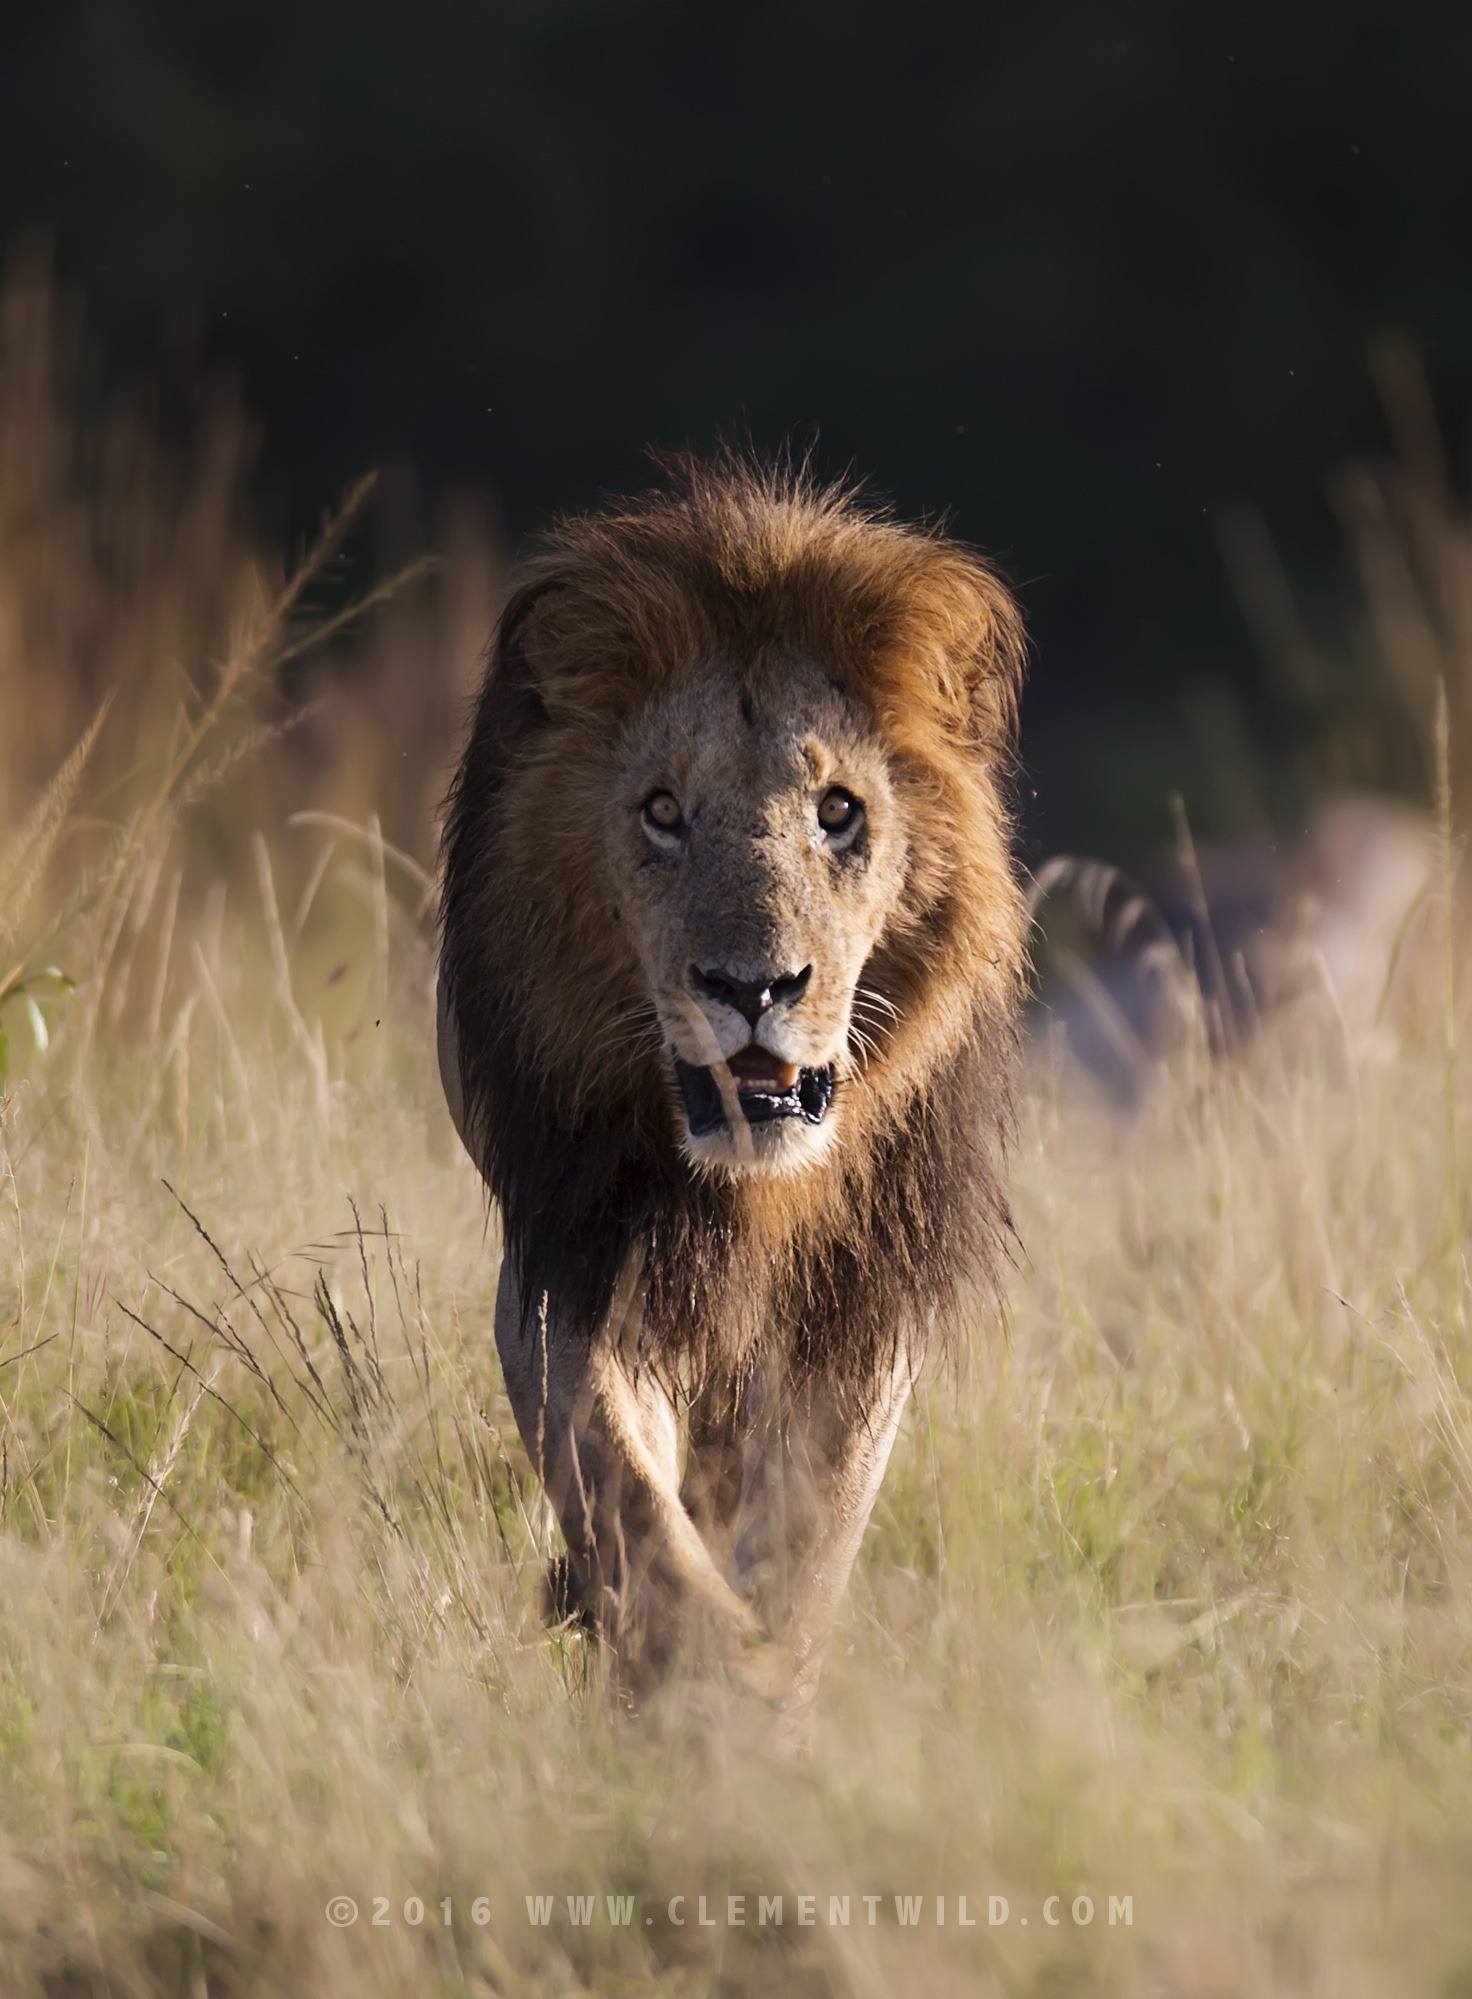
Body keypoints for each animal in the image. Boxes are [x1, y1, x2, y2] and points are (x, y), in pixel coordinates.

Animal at [436, 457, 1024, 1719]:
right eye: (663, 812)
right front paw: (695, 1672)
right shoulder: (570, 1264)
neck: (753, 1189)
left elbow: (807, 1533)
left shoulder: (861, 1303)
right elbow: (622, 1493)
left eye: (838, 811)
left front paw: (765, 1687)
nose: (751, 985)